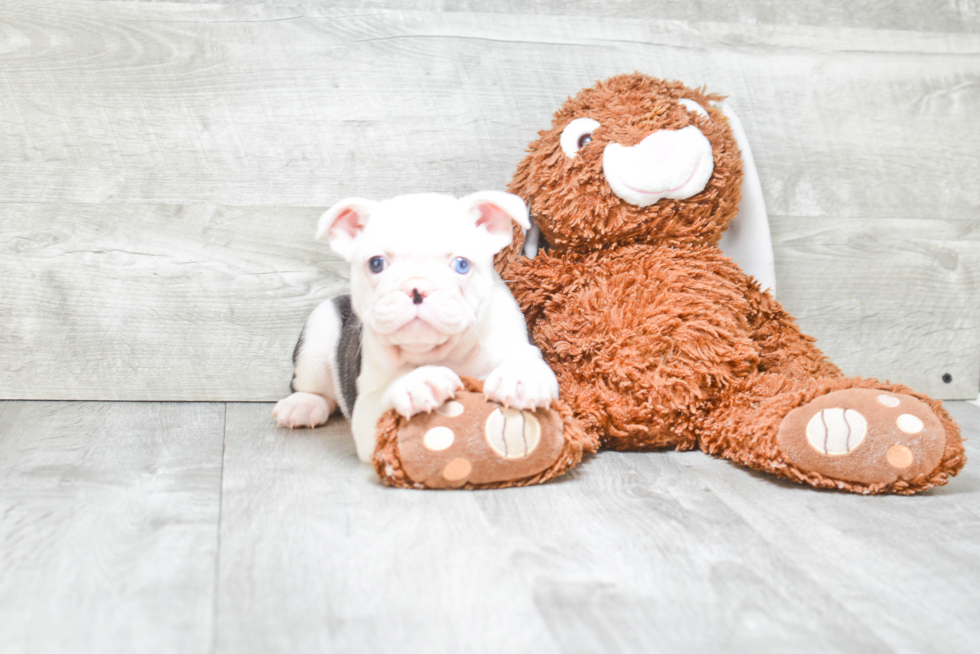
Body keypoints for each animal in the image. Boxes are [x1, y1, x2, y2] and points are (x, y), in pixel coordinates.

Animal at [272, 192, 560, 464]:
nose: (417, 288)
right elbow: (382, 398)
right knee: (313, 387)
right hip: (319, 327)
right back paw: (303, 404)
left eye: (462, 264)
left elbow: (527, 363)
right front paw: (415, 381)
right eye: (376, 264)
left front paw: (521, 377)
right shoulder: (366, 414)